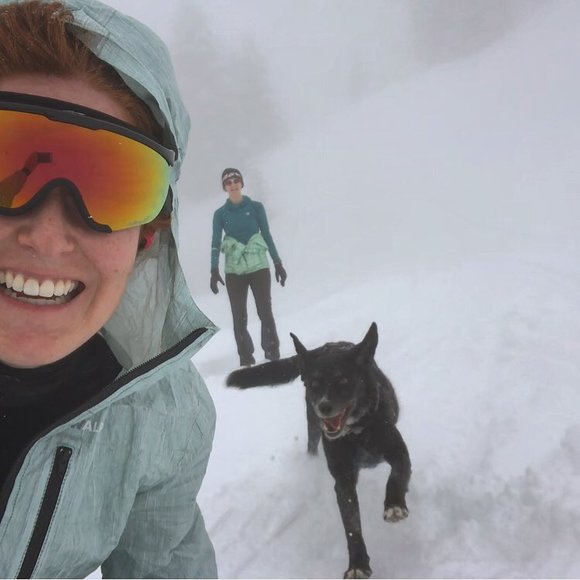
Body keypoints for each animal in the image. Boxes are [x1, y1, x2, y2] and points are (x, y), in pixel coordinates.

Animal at [226, 323, 411, 579]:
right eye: (314, 385)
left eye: (343, 380)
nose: (324, 406)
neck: (357, 433)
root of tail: (322, 347)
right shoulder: (343, 481)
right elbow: (352, 526)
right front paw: (357, 563)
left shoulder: (399, 452)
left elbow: (397, 476)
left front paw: (394, 505)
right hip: (313, 427)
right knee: (311, 445)